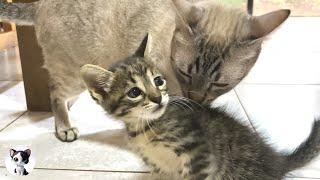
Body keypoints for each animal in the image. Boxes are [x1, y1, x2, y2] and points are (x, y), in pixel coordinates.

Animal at [0, 0, 290, 141]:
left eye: (220, 84)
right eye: (185, 72)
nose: (196, 97)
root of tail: (39, 3)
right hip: (72, 72)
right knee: (55, 92)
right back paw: (64, 127)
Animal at [80, 35, 320, 180]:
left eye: (158, 81)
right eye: (134, 92)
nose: (158, 99)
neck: (146, 127)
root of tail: (276, 161)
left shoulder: (199, 153)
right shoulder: (159, 168)